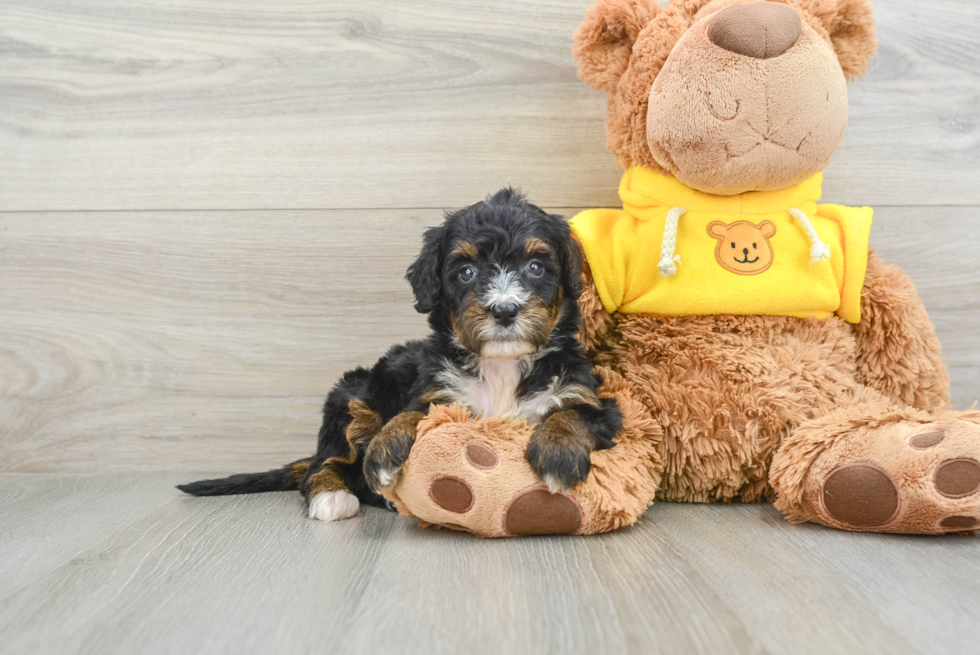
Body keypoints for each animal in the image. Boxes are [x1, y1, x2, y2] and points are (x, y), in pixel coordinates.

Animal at [178, 190, 620, 524]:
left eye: (535, 266)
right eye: (466, 273)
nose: (505, 310)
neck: (502, 365)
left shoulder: (590, 396)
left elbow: (573, 413)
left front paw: (557, 454)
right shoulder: (435, 393)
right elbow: (410, 414)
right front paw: (384, 449)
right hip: (352, 395)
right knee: (324, 465)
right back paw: (331, 497)